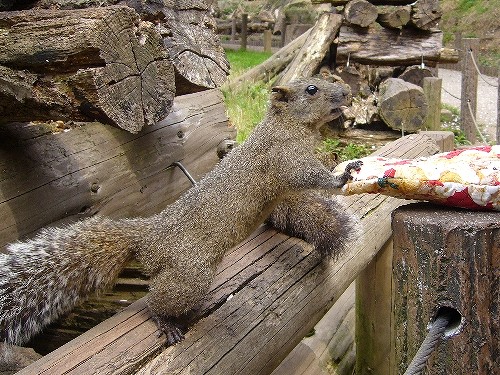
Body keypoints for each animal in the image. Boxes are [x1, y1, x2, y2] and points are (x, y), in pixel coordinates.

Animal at [0, 78, 360, 348]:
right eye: (311, 89)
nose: (348, 93)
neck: (288, 127)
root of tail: (149, 238)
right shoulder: (285, 160)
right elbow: (311, 177)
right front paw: (343, 175)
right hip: (190, 273)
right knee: (156, 301)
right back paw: (166, 321)